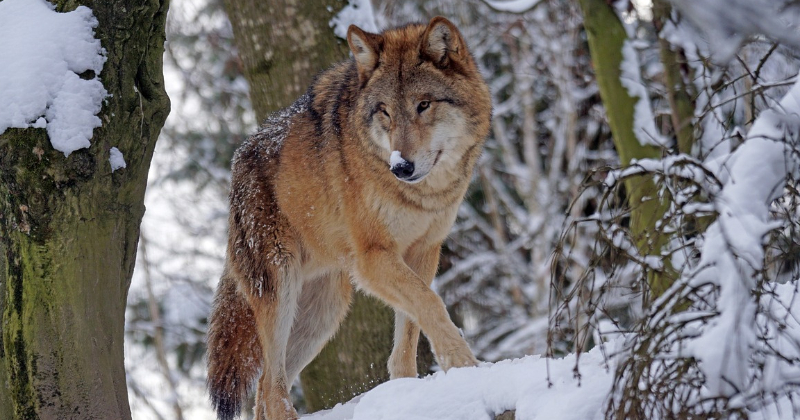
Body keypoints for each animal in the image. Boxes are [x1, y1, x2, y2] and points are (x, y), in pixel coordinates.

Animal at [206, 16, 490, 420]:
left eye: (424, 105)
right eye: (385, 111)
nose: (401, 167)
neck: (422, 196)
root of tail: (237, 162)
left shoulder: (424, 252)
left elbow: (410, 330)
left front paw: (408, 392)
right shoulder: (373, 258)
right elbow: (432, 304)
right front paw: (465, 366)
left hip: (323, 313)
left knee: (264, 389)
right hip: (281, 291)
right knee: (271, 387)